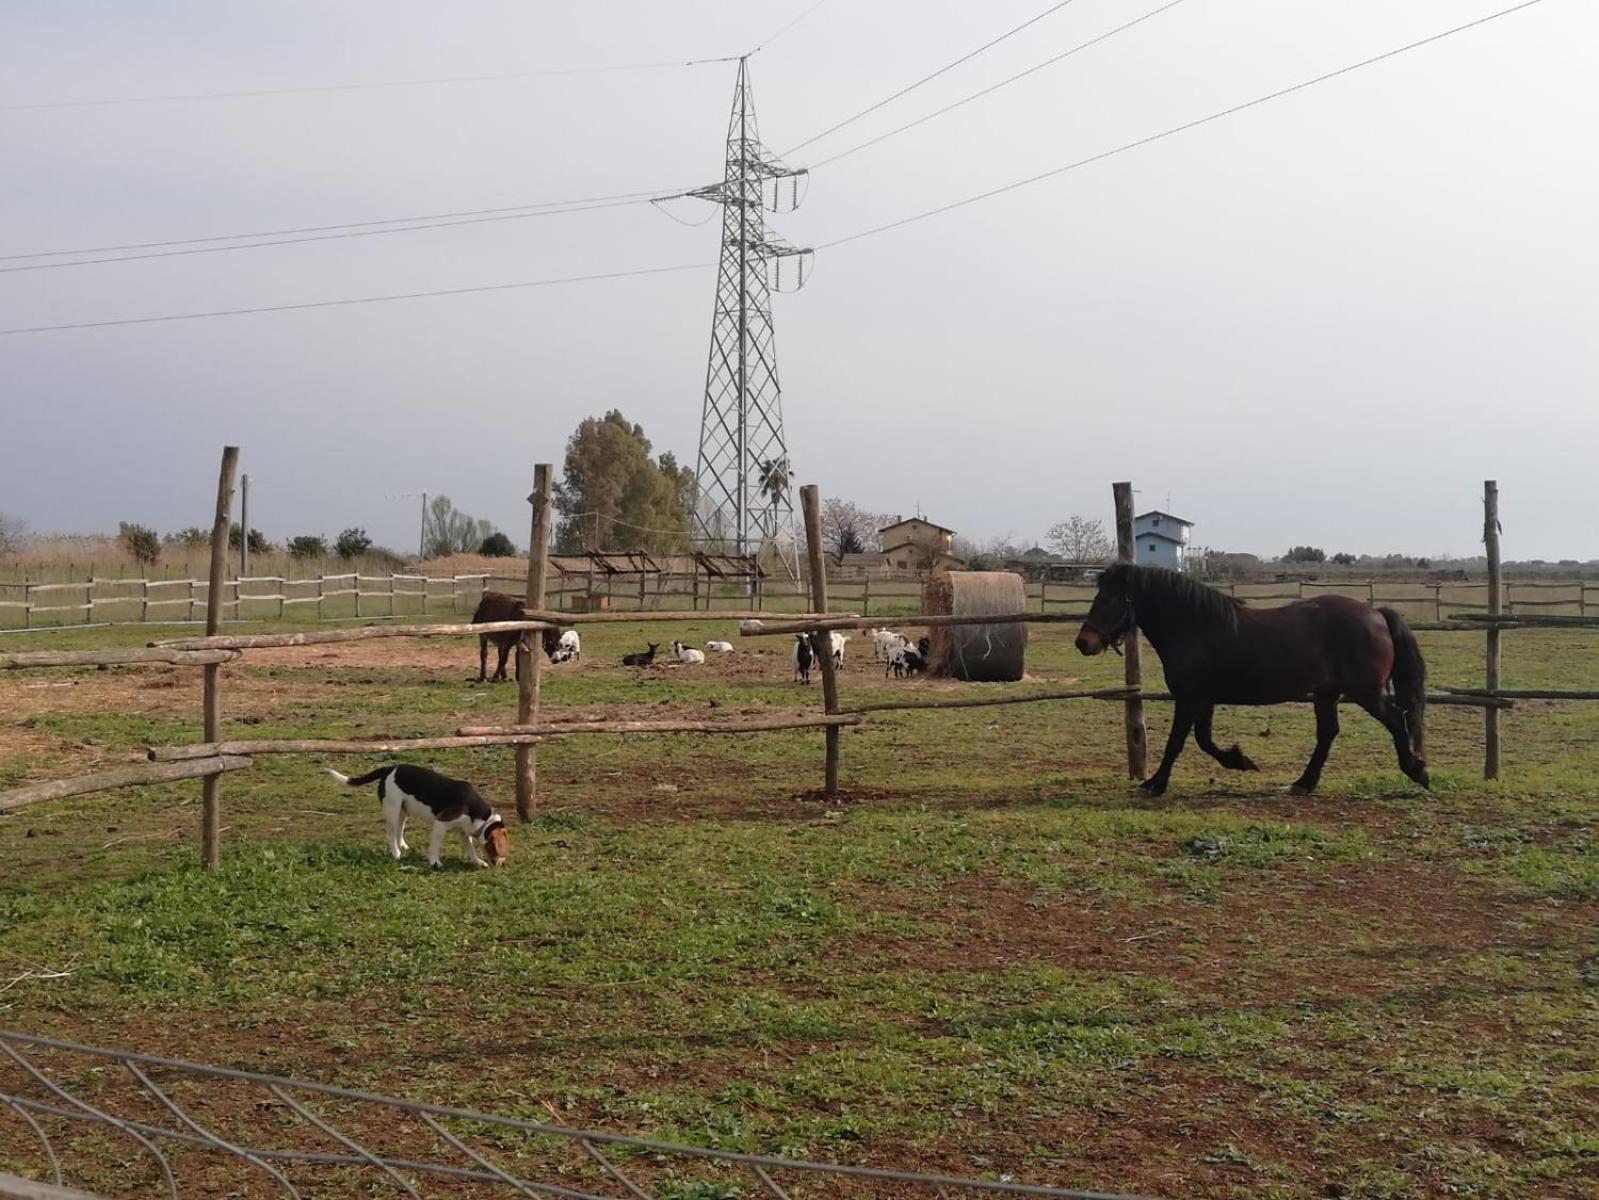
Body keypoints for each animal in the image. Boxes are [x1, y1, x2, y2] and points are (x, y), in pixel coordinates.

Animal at [319, 764, 505, 870]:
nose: (500, 864)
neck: (481, 816)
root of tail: (389, 768)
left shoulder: (463, 831)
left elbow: (470, 848)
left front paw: (477, 861)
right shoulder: (441, 824)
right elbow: (435, 848)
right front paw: (434, 862)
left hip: (403, 811)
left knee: (399, 830)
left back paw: (402, 845)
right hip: (392, 810)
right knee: (390, 835)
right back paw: (396, 853)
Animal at [1080, 563, 1432, 800]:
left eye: (1109, 600)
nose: (1083, 642)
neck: (1196, 627)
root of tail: (1377, 614)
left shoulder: (1190, 697)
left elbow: (1177, 741)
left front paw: (1155, 783)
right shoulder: (1204, 699)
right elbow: (1204, 740)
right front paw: (1241, 761)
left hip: (1366, 691)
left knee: (1396, 721)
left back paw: (1417, 771)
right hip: (1327, 693)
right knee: (1328, 733)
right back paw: (1302, 783)